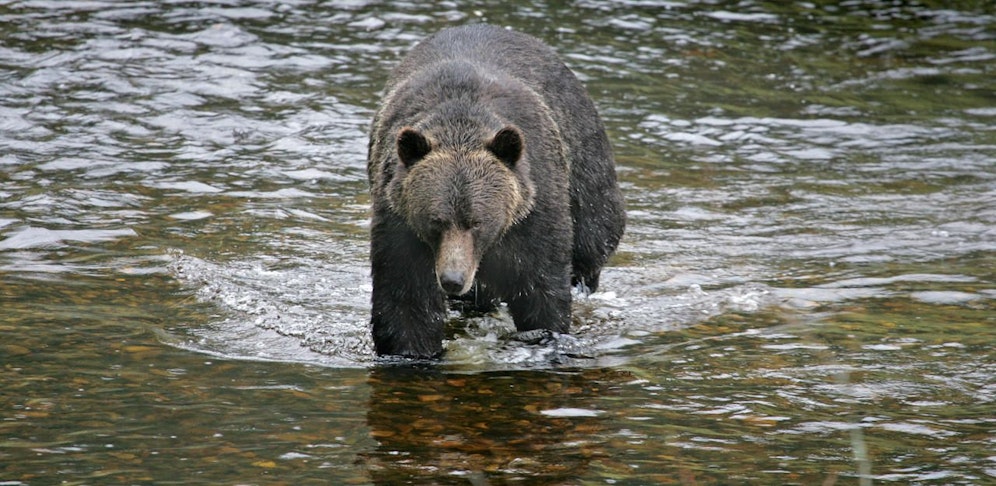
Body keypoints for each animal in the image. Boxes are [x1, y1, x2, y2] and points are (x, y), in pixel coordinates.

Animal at [367, 24, 625, 358]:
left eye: (476, 221)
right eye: (436, 221)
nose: (452, 280)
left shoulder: (535, 209)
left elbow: (540, 287)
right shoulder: (400, 223)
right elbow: (406, 301)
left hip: (584, 165)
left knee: (594, 236)